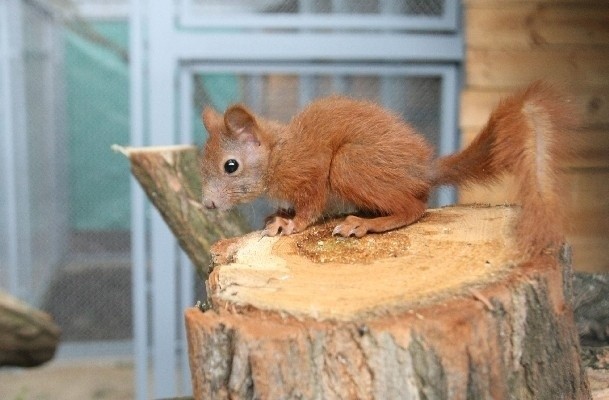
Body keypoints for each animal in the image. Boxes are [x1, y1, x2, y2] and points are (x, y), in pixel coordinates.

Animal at [200, 81, 576, 256]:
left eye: (231, 166)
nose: (208, 204)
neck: (278, 153)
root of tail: (422, 170)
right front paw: (278, 214)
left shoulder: (311, 170)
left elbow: (311, 206)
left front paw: (289, 224)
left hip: (349, 165)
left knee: (415, 208)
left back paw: (365, 224)